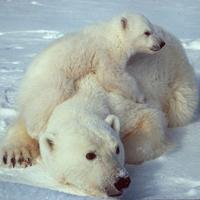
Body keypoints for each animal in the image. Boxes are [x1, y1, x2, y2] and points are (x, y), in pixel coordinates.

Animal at [16, 13, 164, 137]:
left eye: (153, 28)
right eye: (147, 32)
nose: (162, 43)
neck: (113, 36)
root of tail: (24, 83)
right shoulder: (106, 53)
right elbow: (110, 75)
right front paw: (140, 96)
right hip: (53, 79)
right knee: (48, 100)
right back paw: (37, 130)